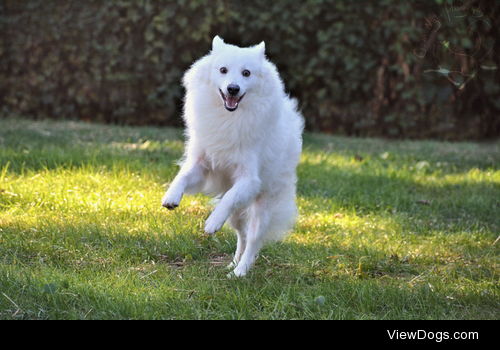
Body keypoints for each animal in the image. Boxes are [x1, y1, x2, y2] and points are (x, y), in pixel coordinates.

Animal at [162, 35, 302, 276]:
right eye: (223, 70)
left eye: (246, 73)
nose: (233, 89)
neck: (229, 117)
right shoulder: (201, 164)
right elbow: (183, 175)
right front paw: (171, 196)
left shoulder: (249, 180)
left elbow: (227, 200)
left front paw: (212, 222)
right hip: (238, 214)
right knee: (242, 235)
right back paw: (233, 264)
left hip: (262, 207)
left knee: (253, 241)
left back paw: (240, 272)